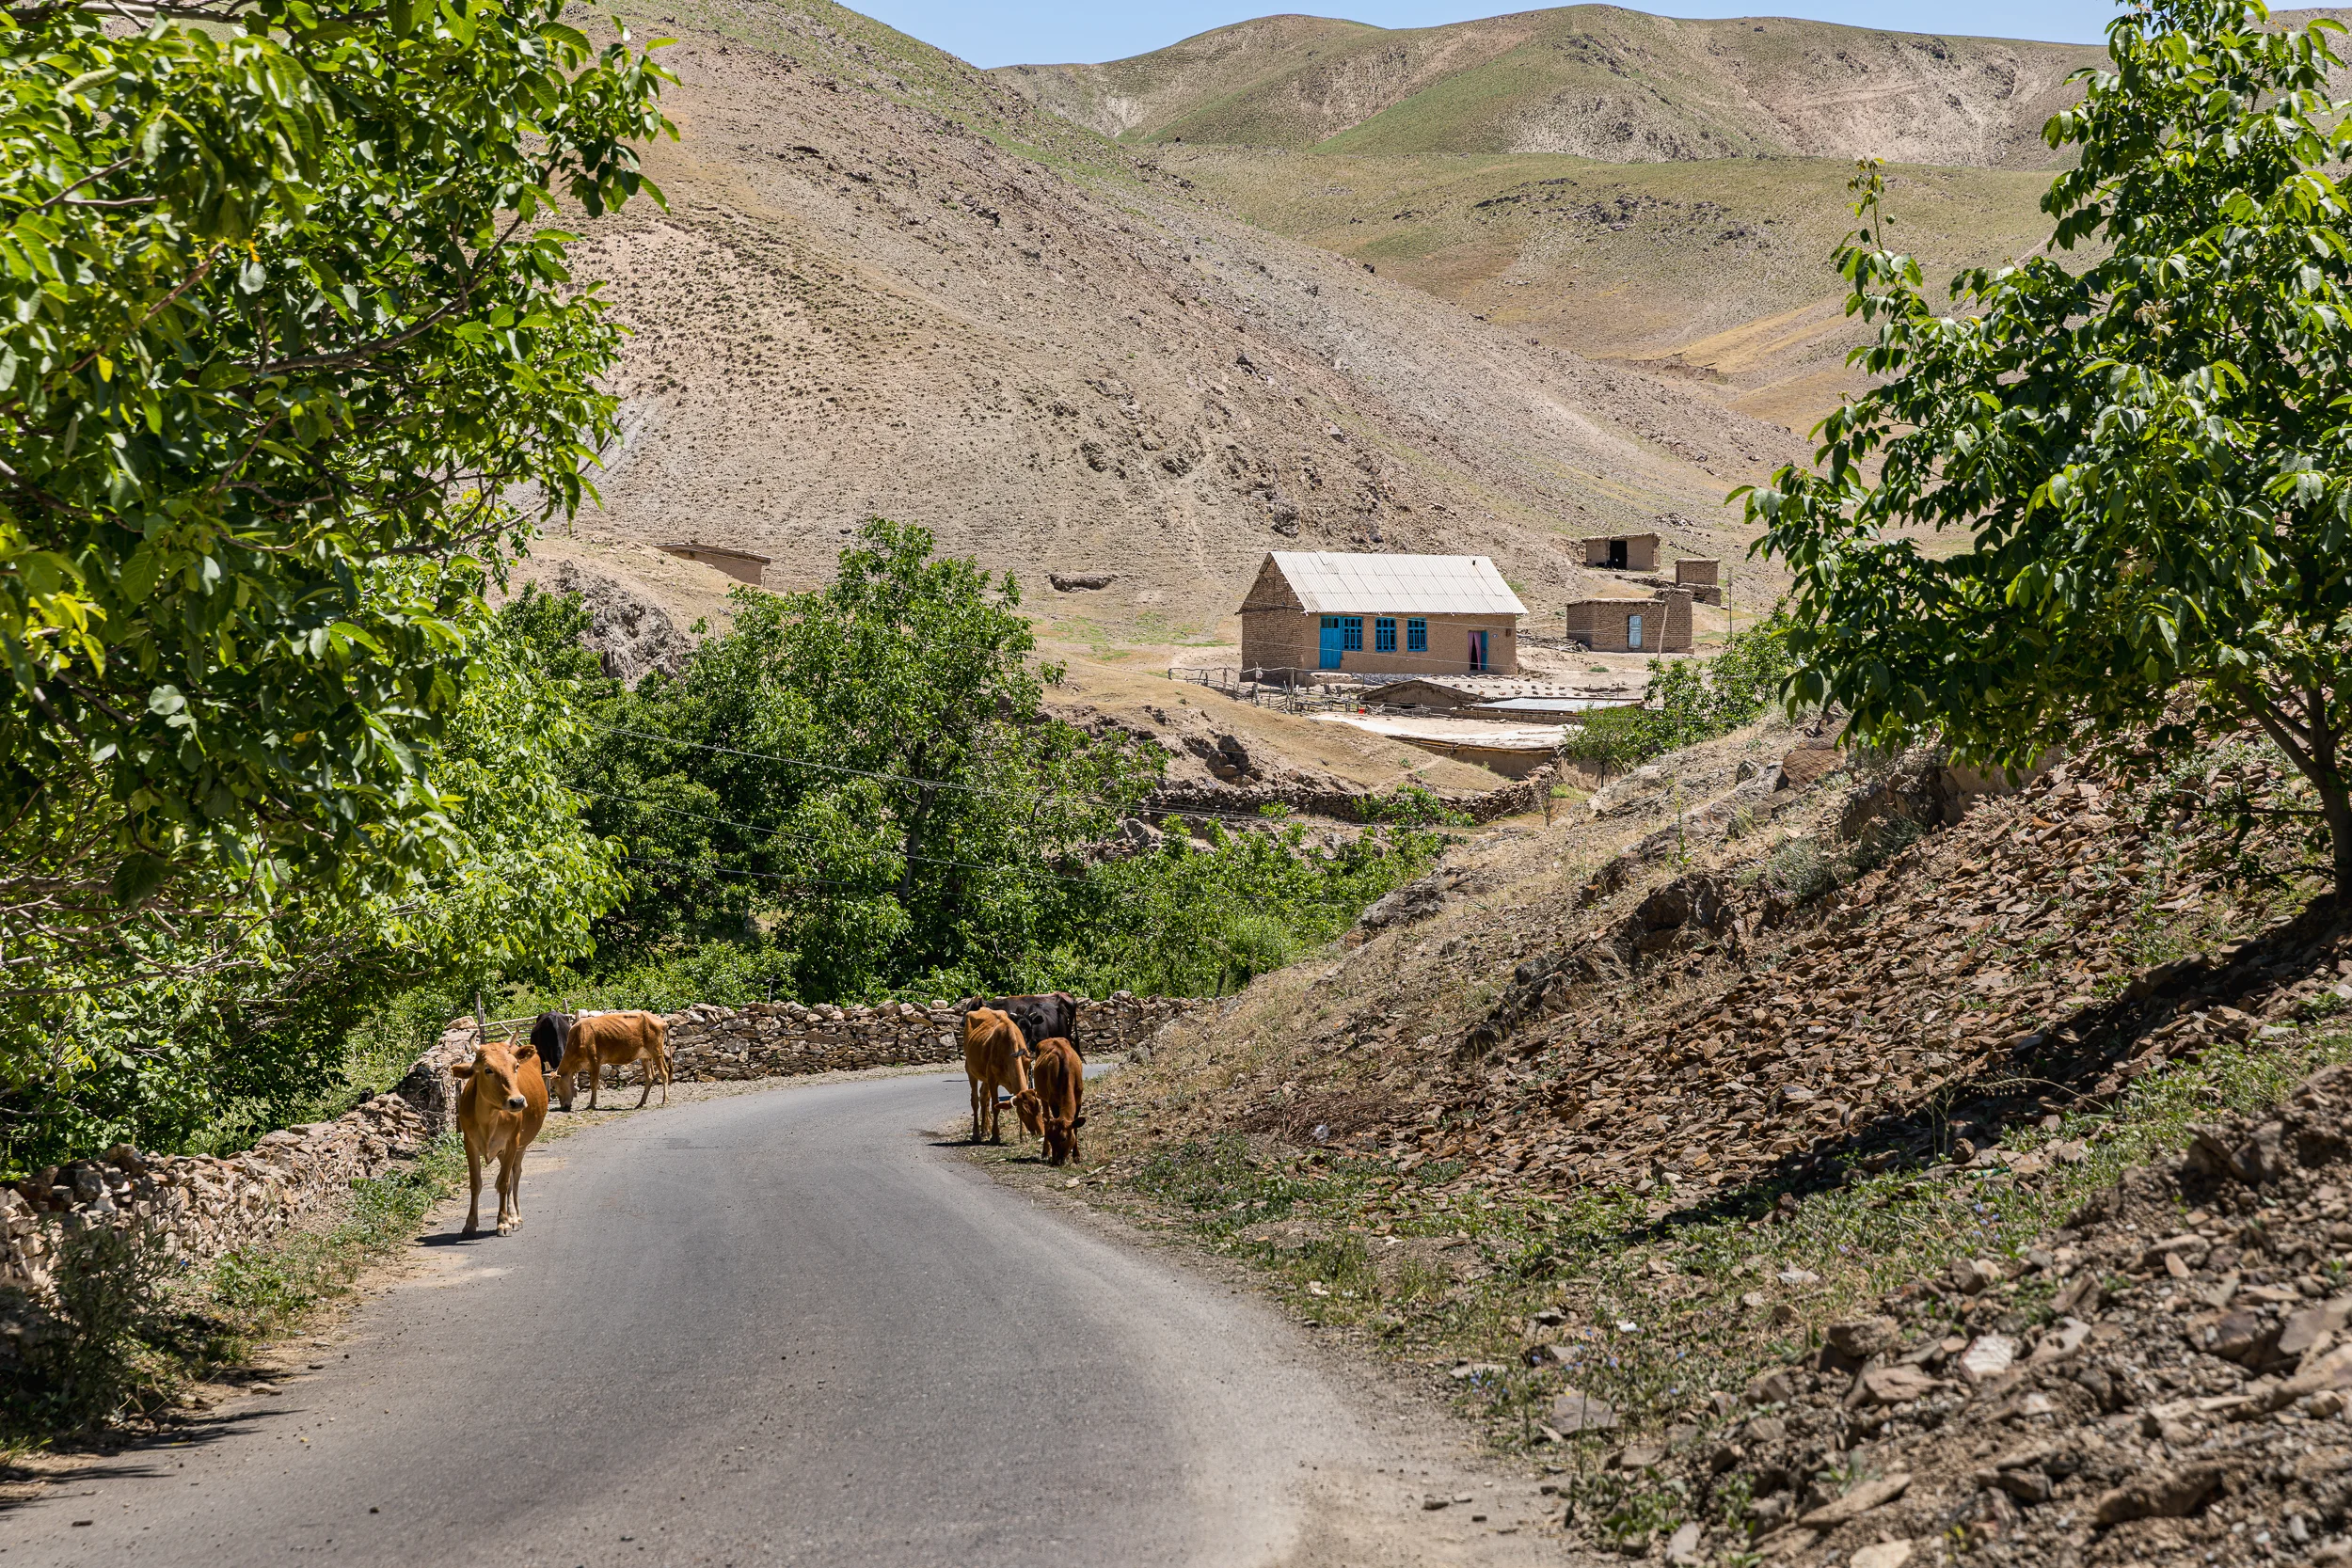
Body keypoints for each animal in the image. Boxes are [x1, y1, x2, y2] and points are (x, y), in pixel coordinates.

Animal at [447, 1034, 548, 1241]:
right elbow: (475, 1184)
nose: (517, 1101)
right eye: (488, 1070)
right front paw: (469, 1224)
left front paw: (503, 1222)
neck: (488, 1119)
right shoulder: (469, 1144)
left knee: (514, 1177)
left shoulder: (511, 1144)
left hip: (520, 1147)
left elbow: (503, 1183)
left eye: (516, 1066)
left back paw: (514, 1217)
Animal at [560, 1010, 682, 1109]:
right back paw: (640, 1103)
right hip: (645, 1057)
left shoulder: (595, 1061)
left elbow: (593, 1084)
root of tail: (663, 1021)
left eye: (556, 1087)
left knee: (664, 1073)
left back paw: (665, 1100)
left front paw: (591, 1105)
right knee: (650, 1077)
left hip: (657, 1053)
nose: (564, 1106)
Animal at [960, 1010, 1035, 1147]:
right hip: (971, 1070)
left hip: (984, 1076)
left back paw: (985, 1130)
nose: (1036, 1132)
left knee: (983, 1097)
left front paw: (1024, 1135)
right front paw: (995, 1136)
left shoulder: (1026, 1073)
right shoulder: (992, 1079)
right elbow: (995, 1107)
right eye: (1022, 1112)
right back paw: (976, 1133)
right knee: (975, 1100)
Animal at [1035, 1034, 1087, 1170]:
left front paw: (1076, 1156)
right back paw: (1045, 1153)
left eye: (1063, 1138)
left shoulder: (1079, 1099)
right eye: (1051, 1138)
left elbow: (1075, 1127)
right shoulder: (1052, 1100)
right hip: (1042, 1095)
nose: (1056, 1161)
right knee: (1046, 1118)